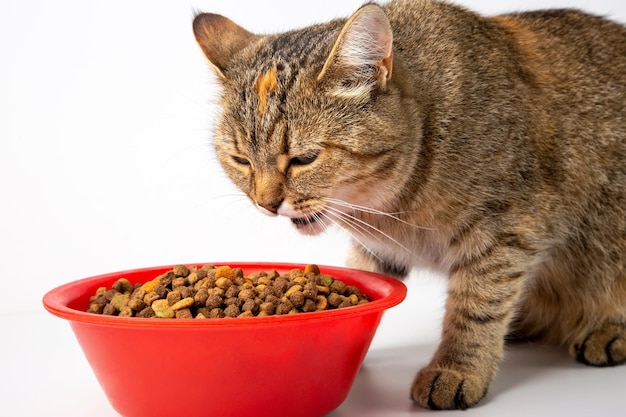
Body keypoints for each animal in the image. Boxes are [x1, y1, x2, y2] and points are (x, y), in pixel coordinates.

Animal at [191, 0, 624, 410]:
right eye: (241, 160)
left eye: (304, 159)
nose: (266, 203)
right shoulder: (375, 245)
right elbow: (365, 277)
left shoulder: (509, 228)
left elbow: (476, 305)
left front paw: (456, 368)